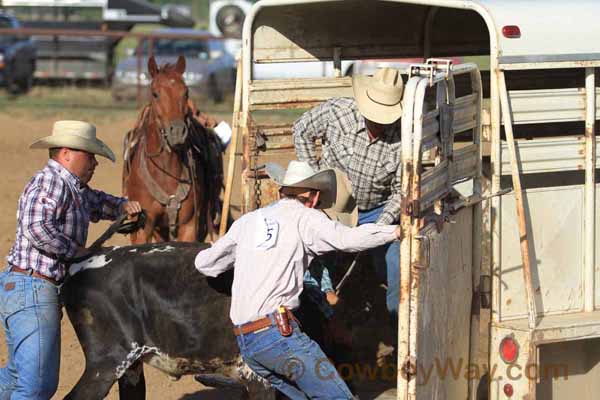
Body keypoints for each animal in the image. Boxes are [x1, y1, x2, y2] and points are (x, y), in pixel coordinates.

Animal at [123, 55, 224, 244]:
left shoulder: (189, 226)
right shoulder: (142, 229)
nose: (177, 131)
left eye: (186, 92)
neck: (165, 173)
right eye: (155, 93)